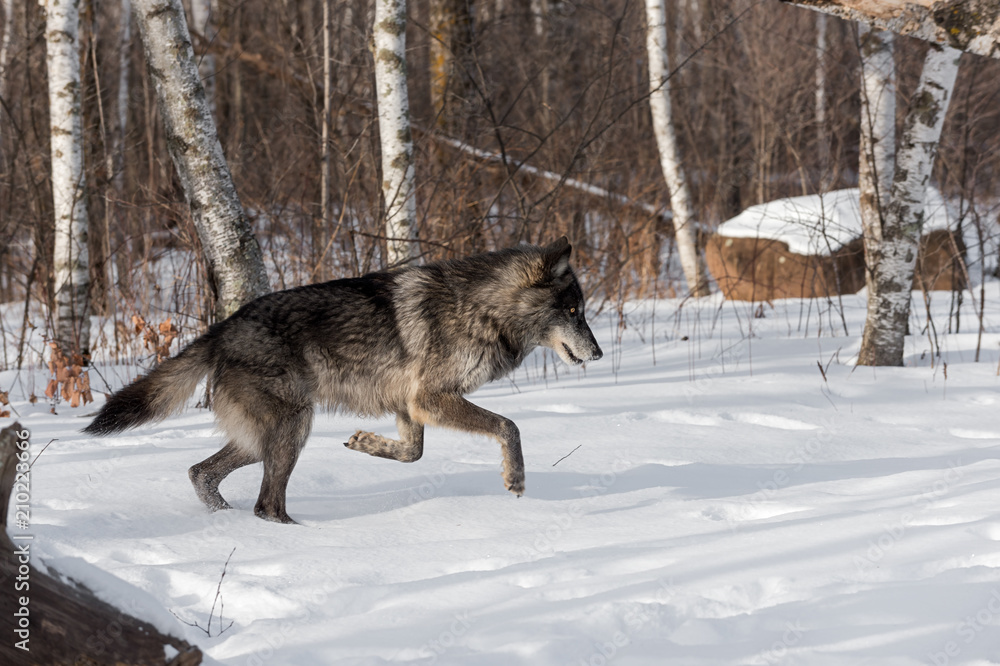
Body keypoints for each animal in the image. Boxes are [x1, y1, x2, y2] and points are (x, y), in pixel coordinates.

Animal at [83, 237, 603, 523]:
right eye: (572, 311)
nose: (597, 353)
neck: (483, 308)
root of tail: (222, 327)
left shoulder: (409, 404)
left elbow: (412, 453)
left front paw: (366, 443)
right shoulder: (430, 399)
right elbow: (508, 426)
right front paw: (515, 478)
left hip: (263, 439)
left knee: (202, 474)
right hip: (292, 430)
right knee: (266, 504)